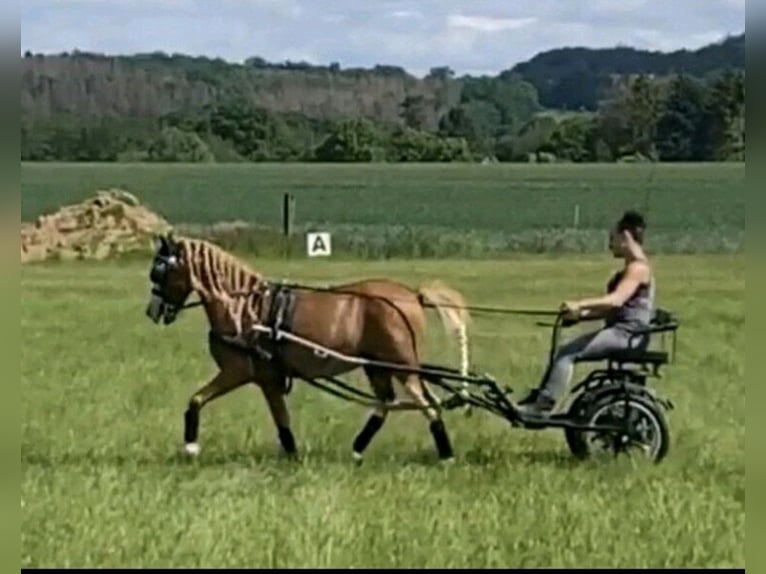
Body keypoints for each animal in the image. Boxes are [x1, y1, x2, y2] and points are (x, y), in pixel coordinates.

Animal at [144, 233, 473, 463]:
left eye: (159, 271)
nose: (152, 312)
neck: (246, 309)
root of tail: (413, 295)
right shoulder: (267, 379)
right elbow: (279, 419)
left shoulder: (245, 373)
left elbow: (199, 400)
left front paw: (191, 446)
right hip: (377, 366)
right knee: (387, 402)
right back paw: (357, 449)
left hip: (401, 365)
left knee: (426, 404)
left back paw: (446, 456)